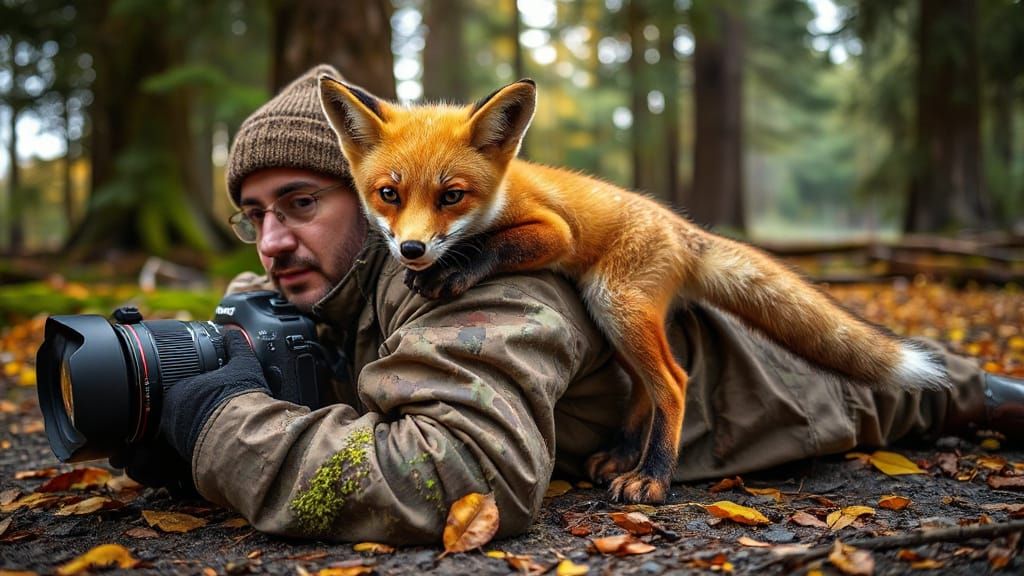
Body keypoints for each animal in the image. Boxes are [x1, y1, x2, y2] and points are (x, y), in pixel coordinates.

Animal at [317, 76, 950, 504]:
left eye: (451, 196)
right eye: (388, 194)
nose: (411, 249)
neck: (503, 196)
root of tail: (680, 228)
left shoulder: (554, 229)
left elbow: (494, 247)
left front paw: (452, 271)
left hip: (615, 304)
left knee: (673, 381)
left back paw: (651, 476)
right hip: (613, 317)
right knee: (646, 386)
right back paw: (623, 455)